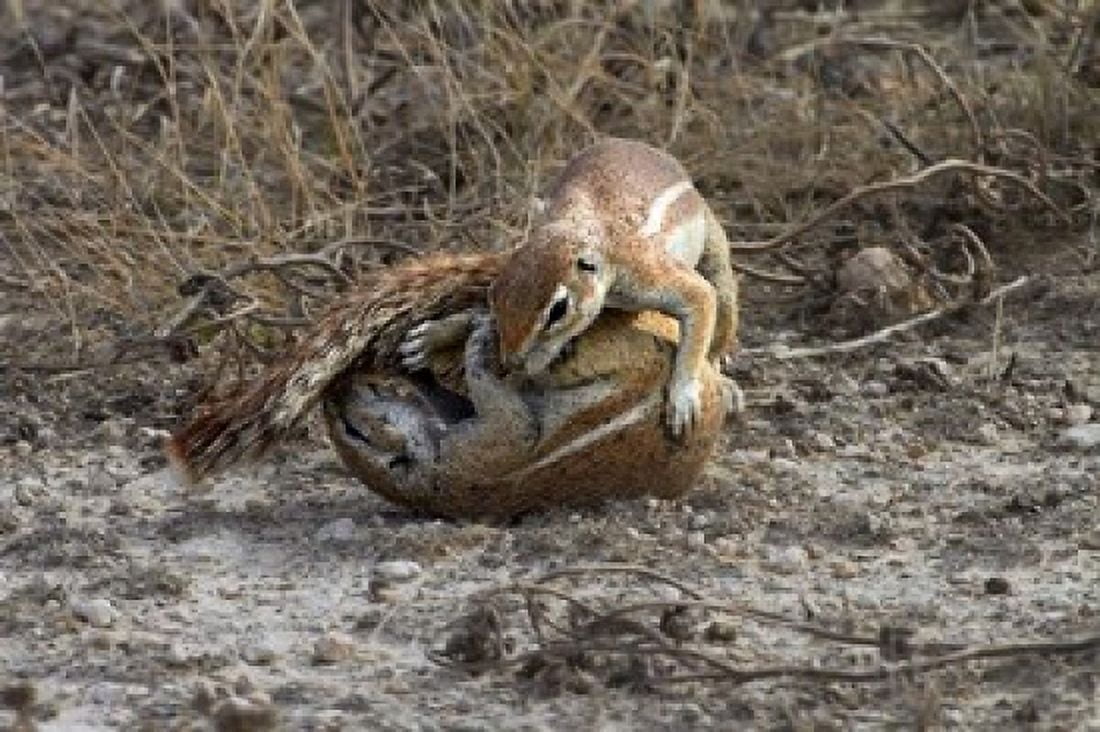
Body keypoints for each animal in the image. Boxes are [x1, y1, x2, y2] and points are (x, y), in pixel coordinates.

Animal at [399, 137, 740, 438]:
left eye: (558, 310)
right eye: (494, 297)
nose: (511, 362)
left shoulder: (649, 273)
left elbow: (700, 302)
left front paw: (682, 397)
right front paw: (438, 335)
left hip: (715, 256)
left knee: (719, 310)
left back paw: (725, 381)